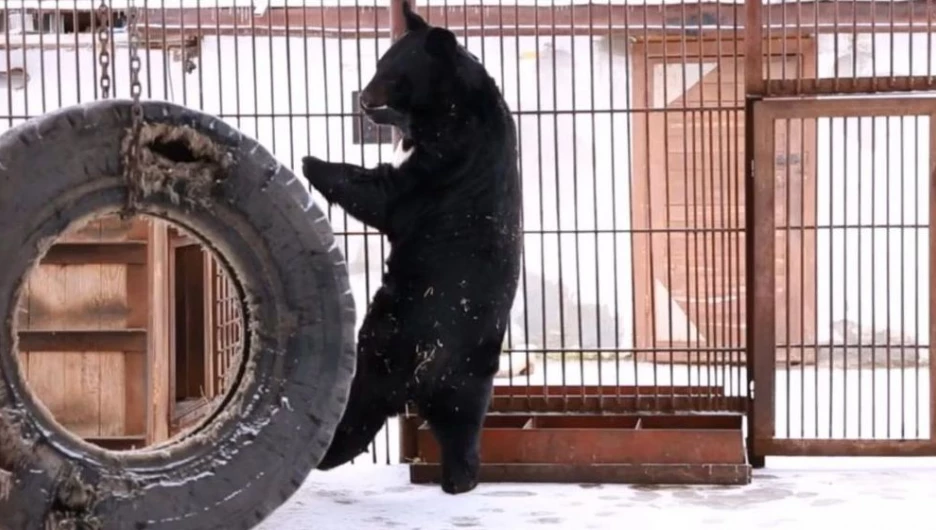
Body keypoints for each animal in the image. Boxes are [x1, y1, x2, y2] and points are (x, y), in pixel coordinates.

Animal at [300, 2, 520, 492]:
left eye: (391, 74)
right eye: (380, 63)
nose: (364, 99)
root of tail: (423, 379)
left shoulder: (447, 159)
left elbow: (382, 194)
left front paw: (311, 160)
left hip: (383, 346)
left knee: (360, 406)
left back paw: (326, 452)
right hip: (471, 383)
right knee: (463, 430)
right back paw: (460, 479)